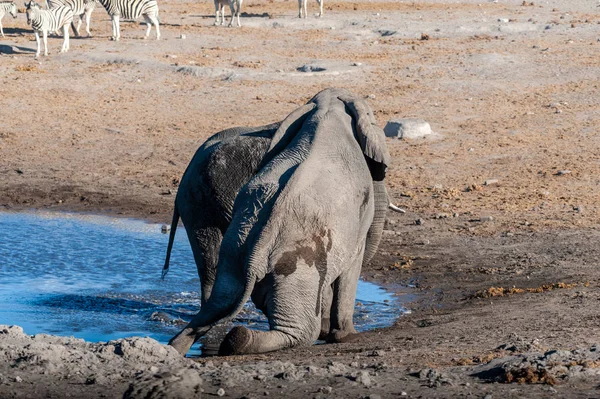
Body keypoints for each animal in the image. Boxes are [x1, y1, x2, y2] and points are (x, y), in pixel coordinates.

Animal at [166, 89, 392, 358]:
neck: (326, 108)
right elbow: (352, 265)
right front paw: (345, 336)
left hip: (232, 246)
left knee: (218, 301)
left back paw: (179, 347)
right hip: (293, 262)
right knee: (301, 330)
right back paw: (240, 339)